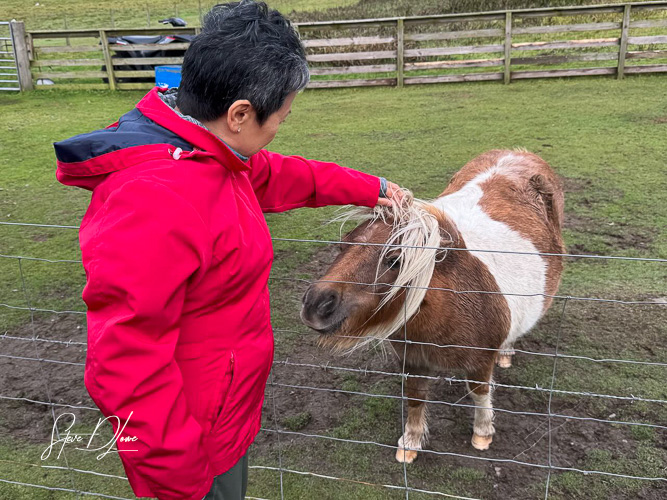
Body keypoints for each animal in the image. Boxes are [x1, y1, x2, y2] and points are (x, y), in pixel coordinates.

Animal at [300, 149, 565, 463]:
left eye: (395, 260)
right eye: (343, 245)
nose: (316, 305)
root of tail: (516, 153)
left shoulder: (480, 362)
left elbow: (479, 393)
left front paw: (482, 433)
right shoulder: (412, 359)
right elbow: (415, 397)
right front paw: (411, 442)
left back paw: (506, 353)